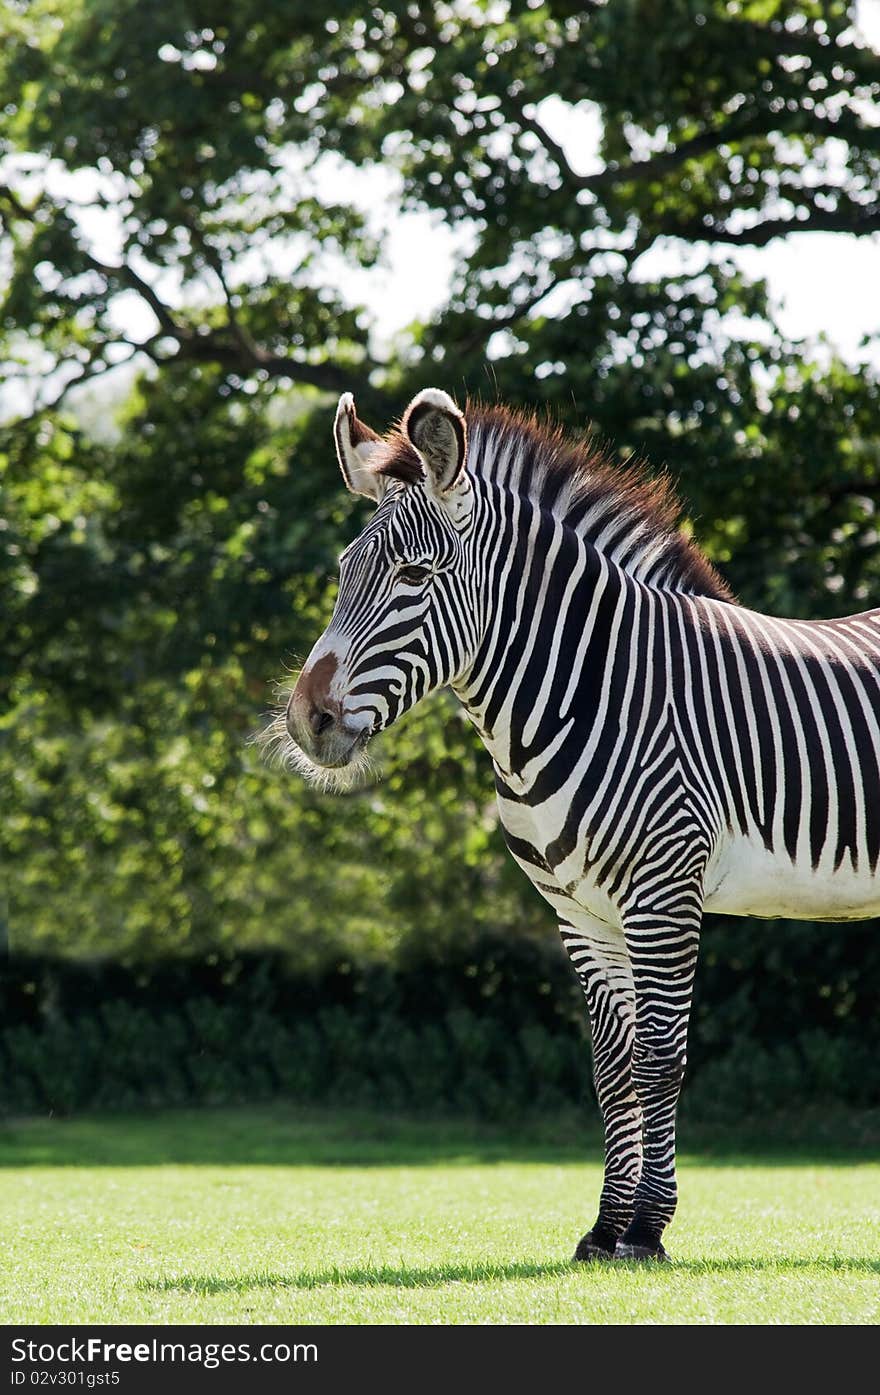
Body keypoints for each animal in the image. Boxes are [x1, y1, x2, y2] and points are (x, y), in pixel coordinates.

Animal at [273, 387, 880, 1261]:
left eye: (414, 574)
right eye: (343, 572)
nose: (305, 720)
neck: (591, 690)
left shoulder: (663, 893)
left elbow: (661, 1058)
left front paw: (649, 1230)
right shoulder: (579, 908)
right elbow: (613, 1066)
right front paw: (604, 1228)